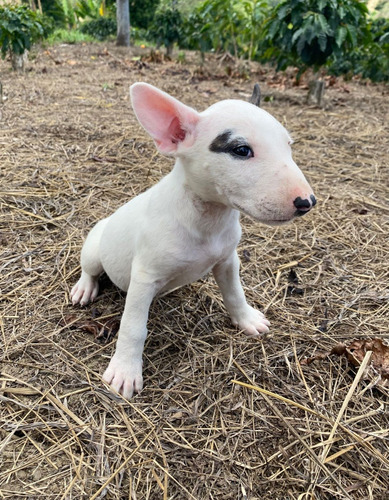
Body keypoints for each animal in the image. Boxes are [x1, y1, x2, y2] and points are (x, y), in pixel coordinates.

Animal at [70, 84, 316, 400]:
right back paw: (84, 288)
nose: (307, 202)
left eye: (288, 144)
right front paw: (125, 371)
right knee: (90, 269)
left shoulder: (227, 260)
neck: (207, 218)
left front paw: (247, 320)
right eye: (241, 150)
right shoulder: (144, 277)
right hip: (95, 247)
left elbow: (235, 293)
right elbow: (133, 327)